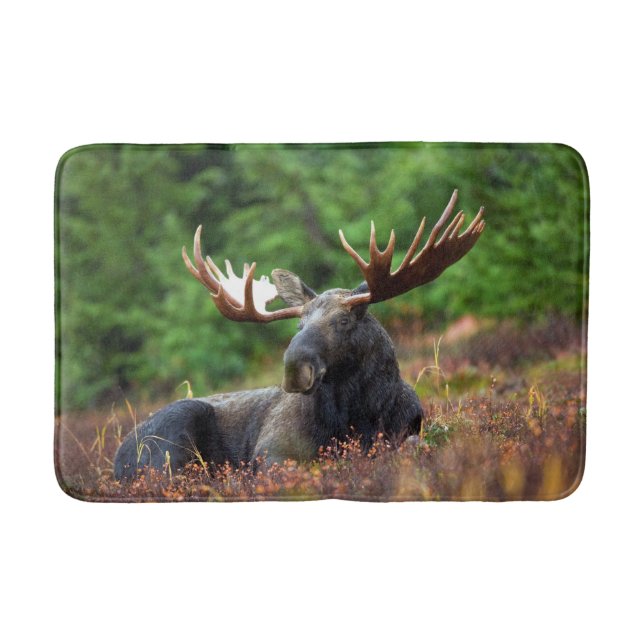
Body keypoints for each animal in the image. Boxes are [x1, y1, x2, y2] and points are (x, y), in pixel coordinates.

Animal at [113, 190, 485, 480]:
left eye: (344, 320)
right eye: (298, 325)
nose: (295, 368)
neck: (358, 417)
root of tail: (117, 460)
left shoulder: (409, 430)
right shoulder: (271, 451)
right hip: (172, 437)